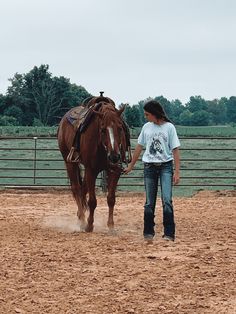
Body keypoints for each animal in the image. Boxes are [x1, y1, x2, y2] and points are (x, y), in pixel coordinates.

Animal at [57, 96, 131, 233]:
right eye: (102, 129)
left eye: (120, 128)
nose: (114, 156)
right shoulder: (91, 170)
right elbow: (92, 201)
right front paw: (89, 225)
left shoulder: (115, 170)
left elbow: (111, 199)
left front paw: (111, 225)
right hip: (69, 162)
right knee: (76, 188)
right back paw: (82, 220)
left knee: (83, 189)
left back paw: (80, 217)